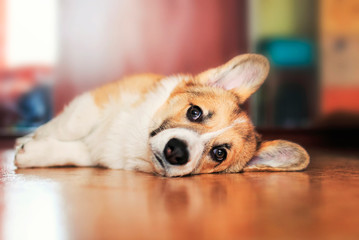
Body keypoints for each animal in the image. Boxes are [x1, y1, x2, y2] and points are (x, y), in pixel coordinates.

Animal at [14, 54, 310, 178]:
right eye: (194, 112)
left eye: (219, 154)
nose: (176, 151)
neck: (137, 143)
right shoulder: (96, 102)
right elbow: (67, 128)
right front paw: (27, 141)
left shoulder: (99, 152)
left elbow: (76, 154)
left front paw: (32, 154)